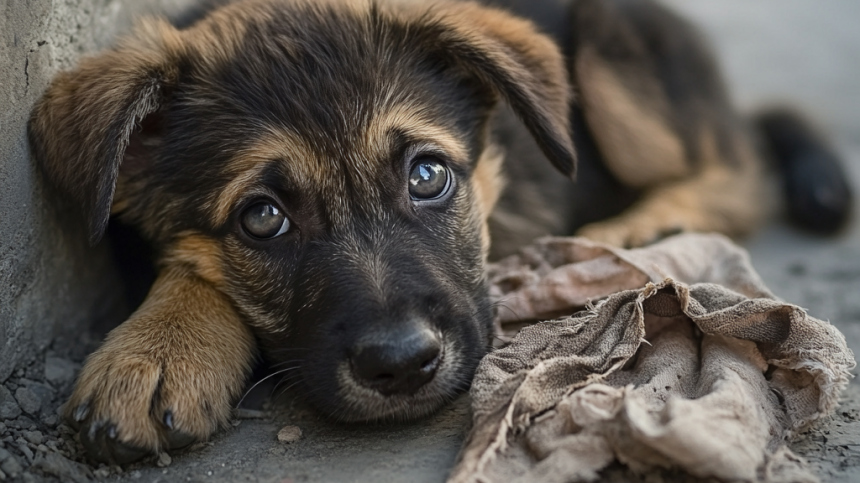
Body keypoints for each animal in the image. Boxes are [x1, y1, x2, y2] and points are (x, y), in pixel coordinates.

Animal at [30, 0, 848, 466]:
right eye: (262, 218)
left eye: (427, 176)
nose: (401, 366)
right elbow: (190, 263)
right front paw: (158, 349)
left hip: (614, 68)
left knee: (744, 161)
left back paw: (656, 218)